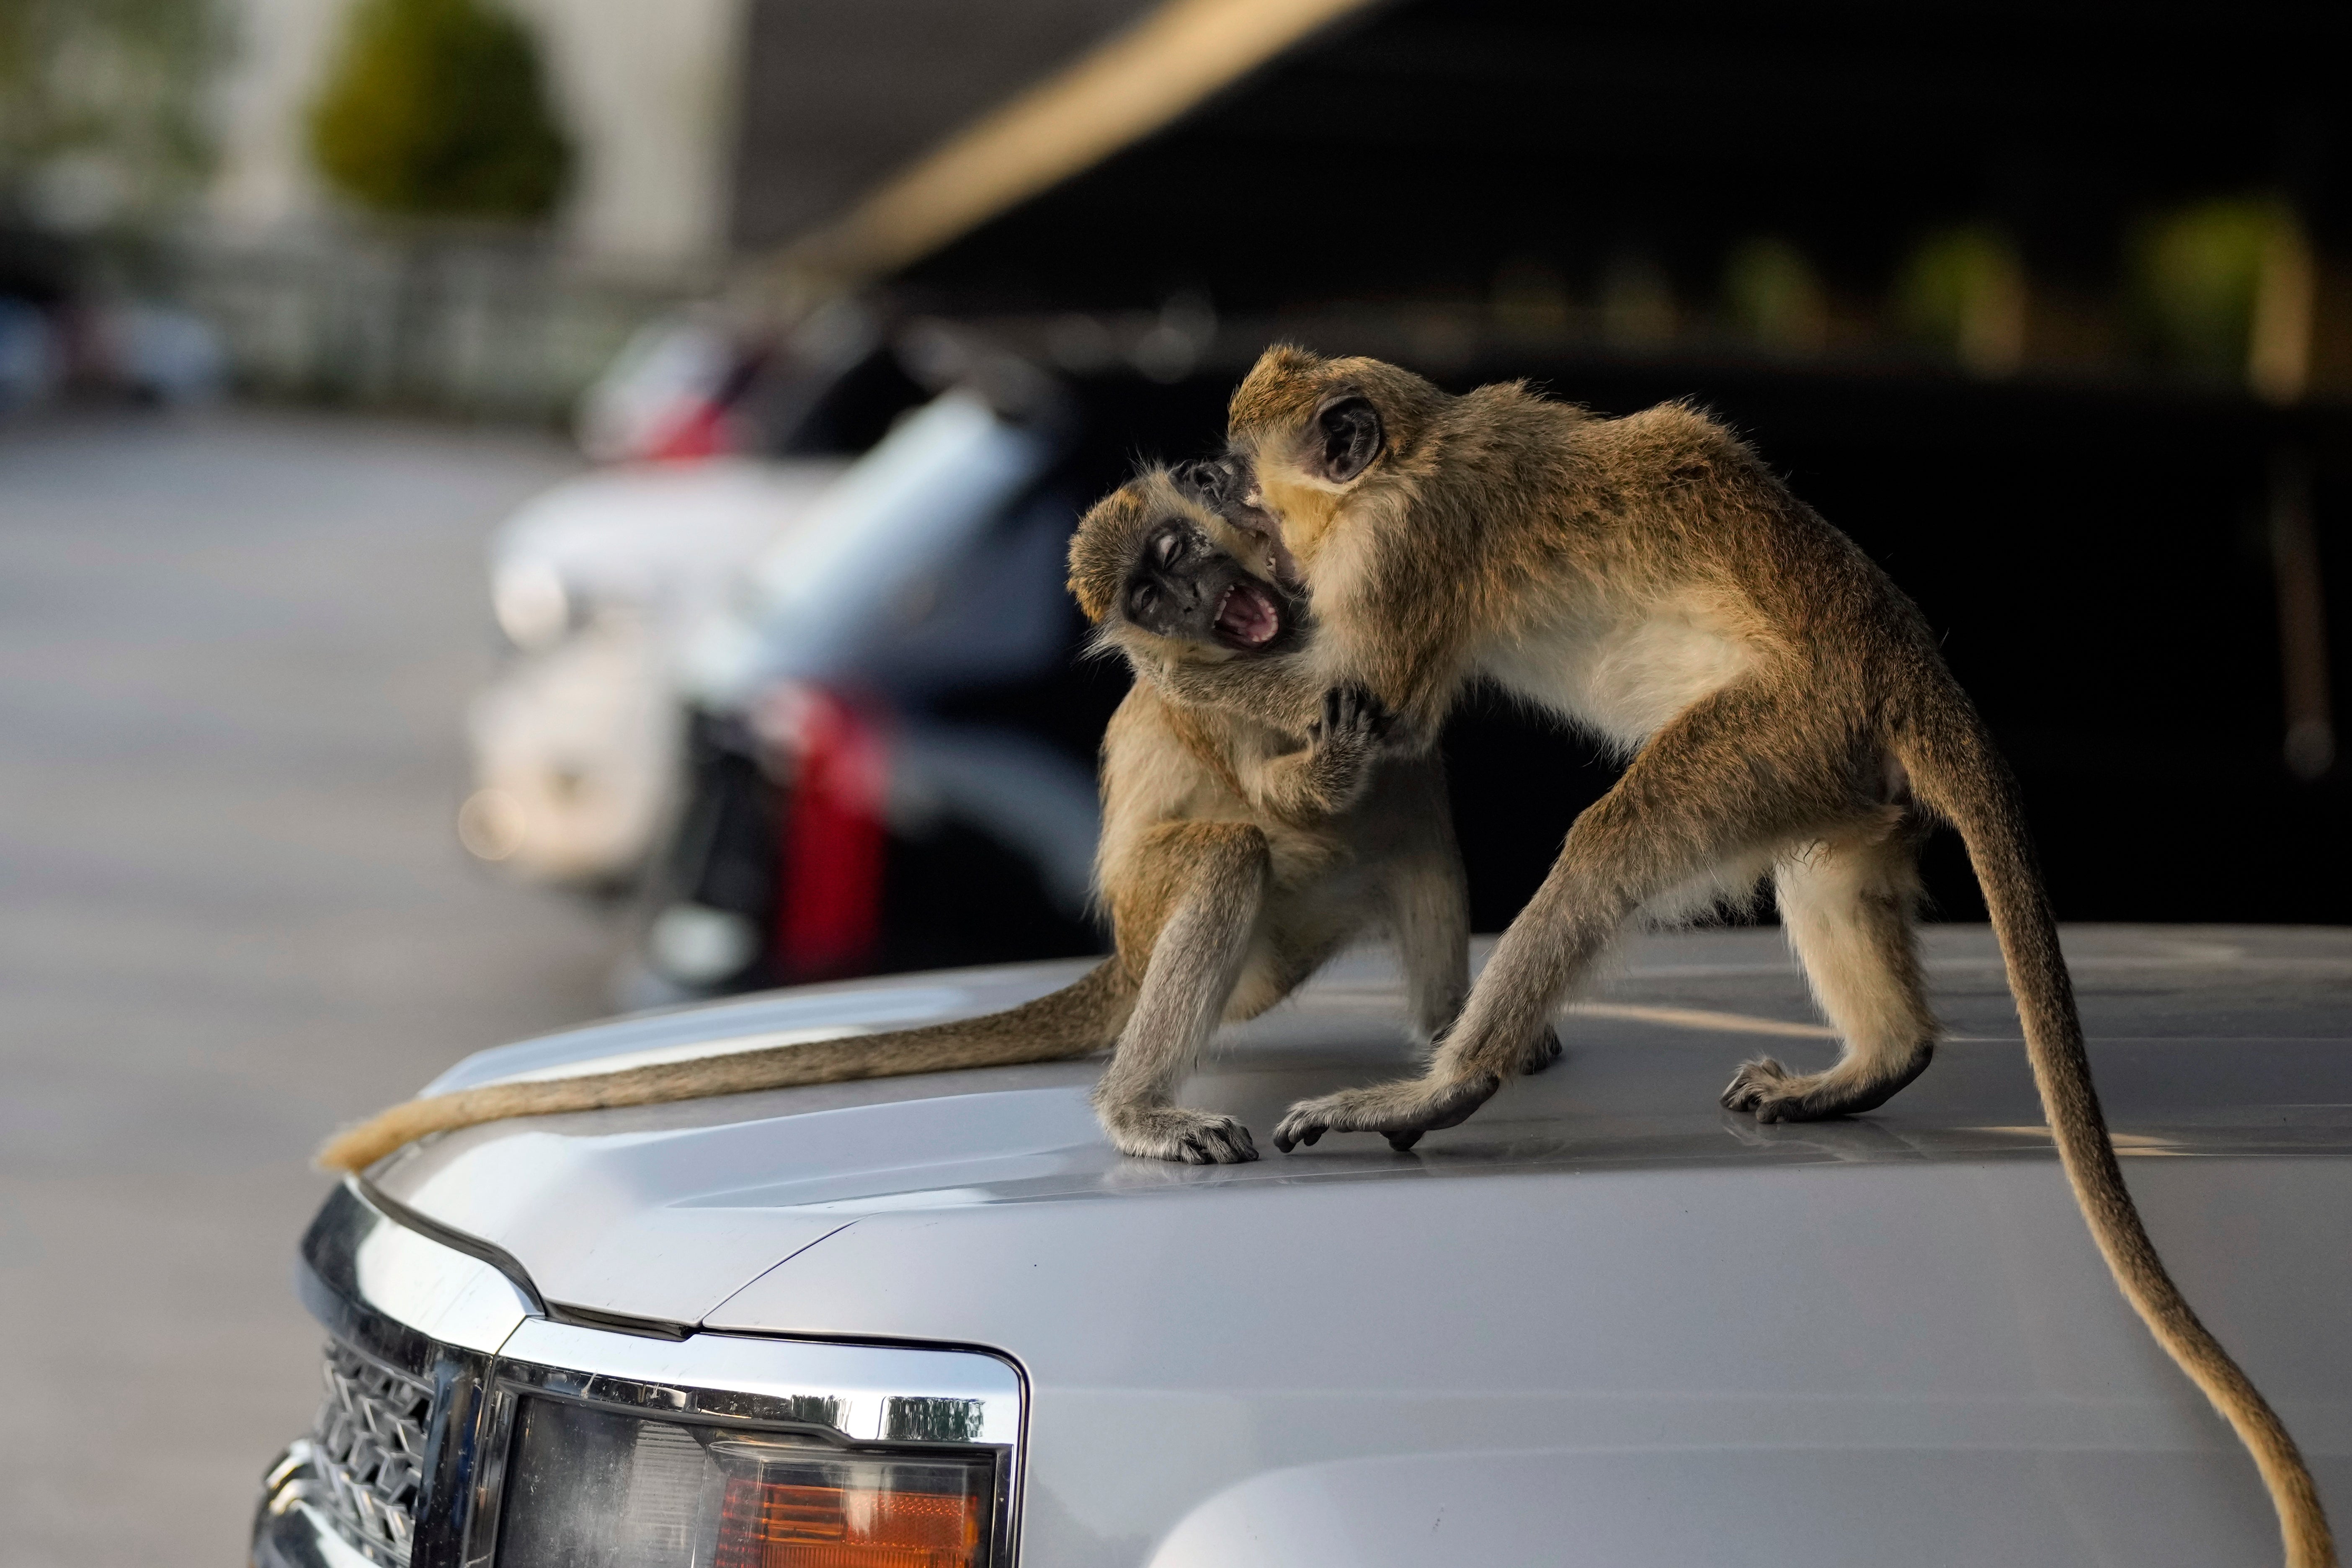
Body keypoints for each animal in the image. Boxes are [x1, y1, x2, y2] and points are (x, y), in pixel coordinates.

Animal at [317, 466, 1543, 1172]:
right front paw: (1326, 752)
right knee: (1236, 853)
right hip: (1220, 929)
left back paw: (1451, 1040)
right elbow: (1278, 786)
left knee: (1415, 814)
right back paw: (1141, 1107)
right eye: (1153, 598)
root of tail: (1128, 955)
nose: (1198, 603)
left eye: (1180, 555)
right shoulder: (1208, 690)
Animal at [1149, 345, 2334, 1568]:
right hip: (1831, 765)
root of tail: (1907, 660)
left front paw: (1162, 662)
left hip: (1782, 728)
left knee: (1613, 845)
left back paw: (1445, 1089)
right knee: (1824, 881)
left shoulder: (1403, 553)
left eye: (1241, 483)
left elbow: (1370, 708)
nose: (1204, 491)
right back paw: (1877, 1060)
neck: (1412, 454)